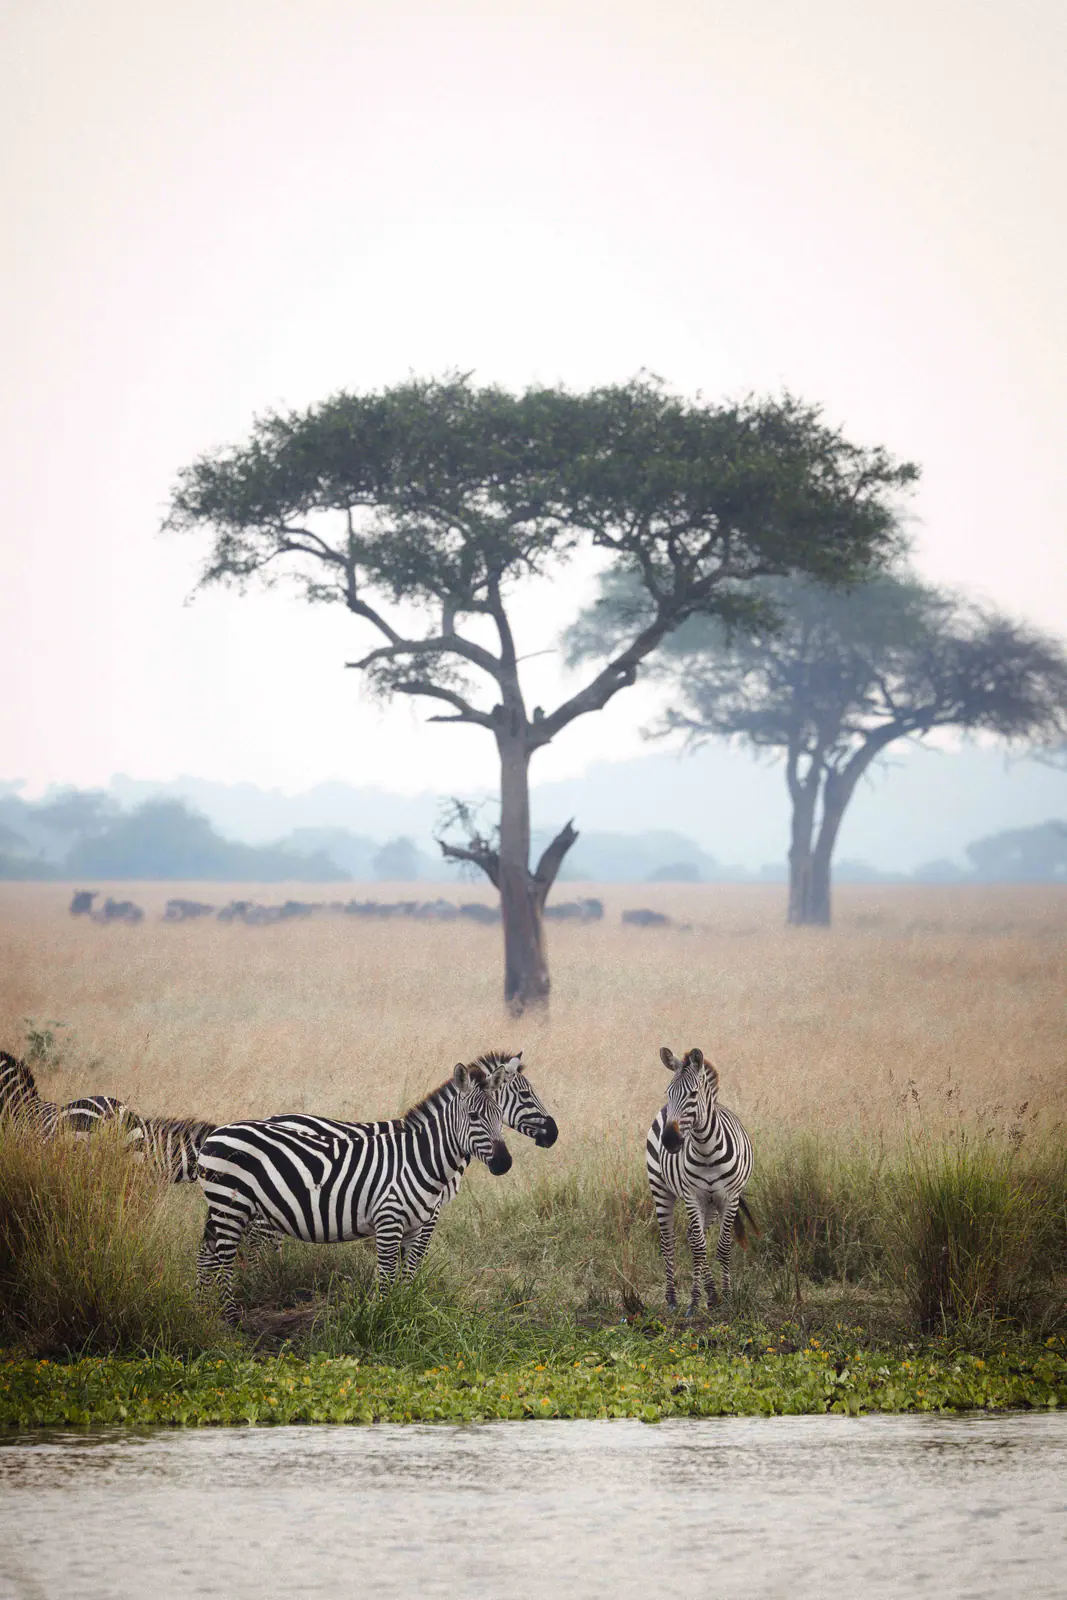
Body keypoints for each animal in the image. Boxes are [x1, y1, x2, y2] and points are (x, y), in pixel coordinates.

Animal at [196, 1058, 513, 1318]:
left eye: (501, 1116)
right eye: (473, 1116)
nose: (504, 1163)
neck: (418, 1160)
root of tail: (216, 1133)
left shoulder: (415, 1226)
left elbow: (409, 1275)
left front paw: (405, 1313)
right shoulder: (389, 1221)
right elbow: (386, 1278)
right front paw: (383, 1318)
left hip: (224, 1208)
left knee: (206, 1254)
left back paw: (205, 1311)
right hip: (231, 1206)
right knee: (223, 1260)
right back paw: (230, 1318)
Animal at [646, 1046, 756, 1313]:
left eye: (693, 1094)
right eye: (668, 1092)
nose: (669, 1140)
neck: (706, 1151)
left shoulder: (729, 1198)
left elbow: (722, 1247)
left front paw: (726, 1296)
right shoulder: (692, 1196)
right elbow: (698, 1248)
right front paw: (694, 1302)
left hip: (712, 1205)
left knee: (695, 1236)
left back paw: (713, 1294)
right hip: (661, 1189)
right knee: (669, 1242)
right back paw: (673, 1298)